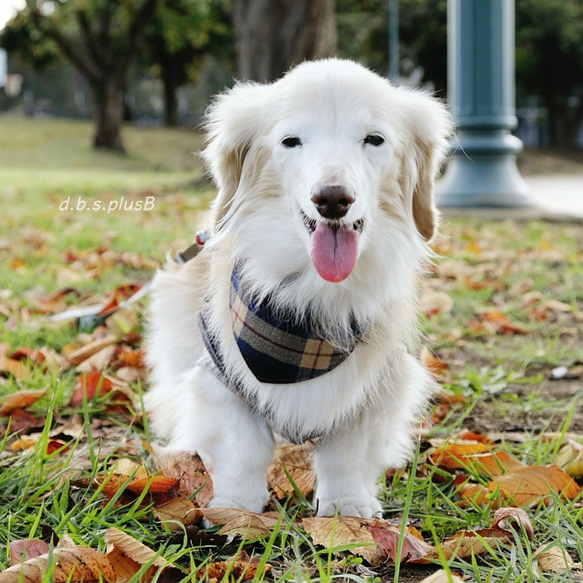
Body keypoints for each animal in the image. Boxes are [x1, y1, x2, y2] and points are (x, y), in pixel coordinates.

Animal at [145, 57, 452, 516]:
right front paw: (237, 508)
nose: (332, 199)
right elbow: (243, 446)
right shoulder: (221, 375)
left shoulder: (378, 384)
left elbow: (347, 453)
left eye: (374, 139)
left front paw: (346, 509)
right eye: (291, 141)